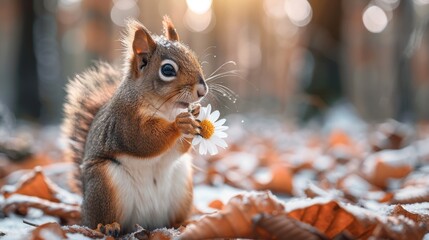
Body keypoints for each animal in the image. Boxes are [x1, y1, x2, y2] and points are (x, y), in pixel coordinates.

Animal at [61, 17, 206, 234]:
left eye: (194, 57)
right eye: (168, 70)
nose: (203, 91)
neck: (166, 109)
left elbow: (179, 148)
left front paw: (195, 114)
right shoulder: (123, 123)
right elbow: (142, 141)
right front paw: (179, 124)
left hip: (182, 186)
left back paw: (184, 224)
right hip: (105, 184)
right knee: (100, 220)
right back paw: (107, 226)